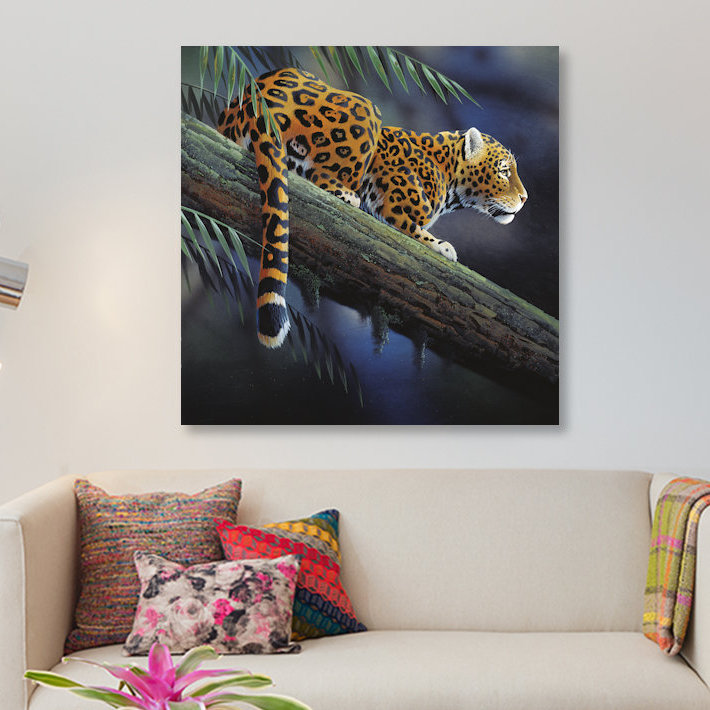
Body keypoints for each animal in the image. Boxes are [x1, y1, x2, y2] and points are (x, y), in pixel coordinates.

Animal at [217, 67, 528, 348]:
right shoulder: (393, 205)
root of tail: (258, 98)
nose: (525, 198)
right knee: (319, 174)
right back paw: (348, 195)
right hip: (368, 112)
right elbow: (415, 230)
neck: (449, 176)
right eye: (503, 171)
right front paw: (442, 246)